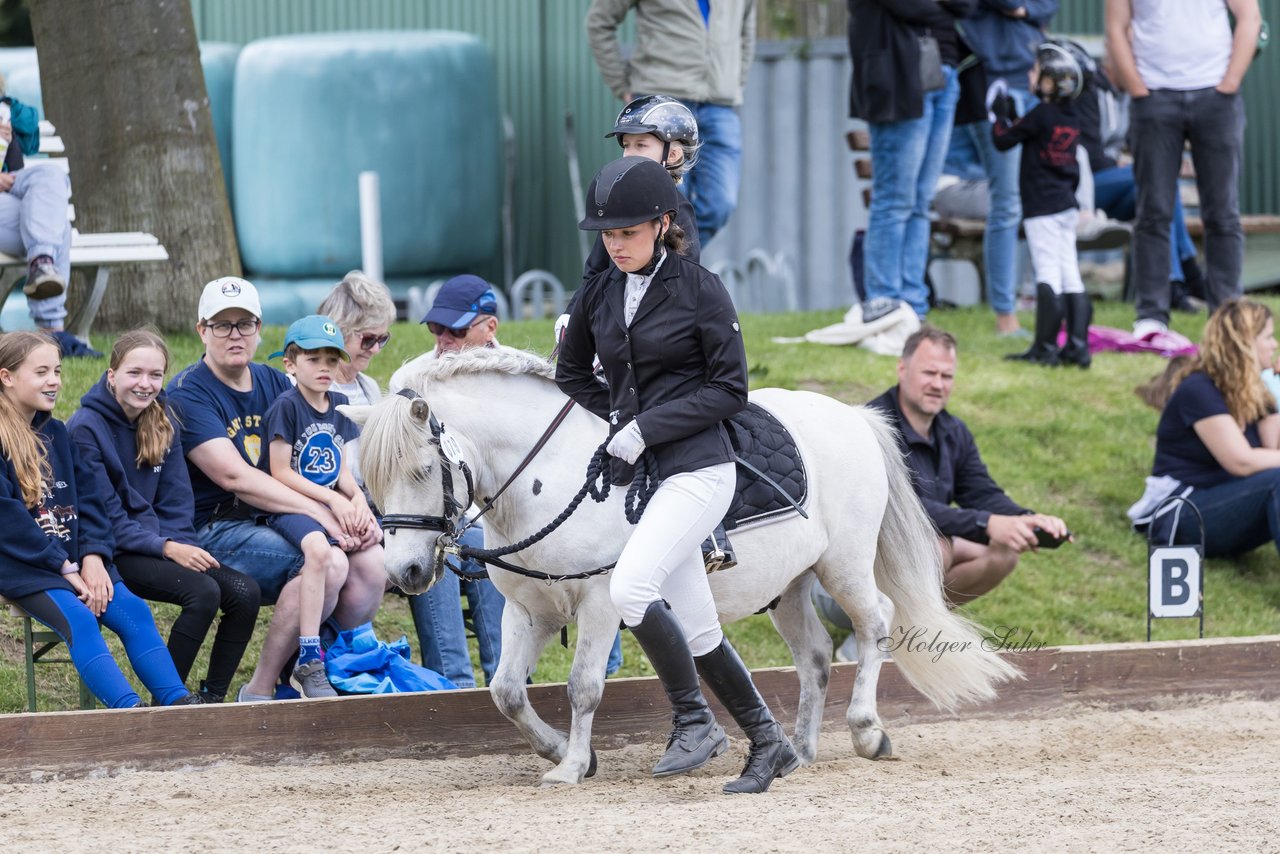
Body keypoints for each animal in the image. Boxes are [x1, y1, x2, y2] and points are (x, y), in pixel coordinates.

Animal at [343, 348, 1018, 788]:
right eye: (368, 480)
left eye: (422, 470)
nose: (405, 573)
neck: (549, 475)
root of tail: (852, 414)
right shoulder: (528, 609)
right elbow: (506, 692)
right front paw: (565, 754)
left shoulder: (599, 602)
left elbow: (583, 687)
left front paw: (571, 767)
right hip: (790, 586)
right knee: (816, 656)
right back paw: (796, 749)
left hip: (844, 565)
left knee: (876, 623)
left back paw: (867, 731)